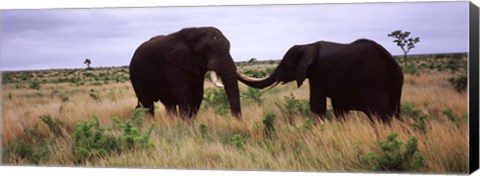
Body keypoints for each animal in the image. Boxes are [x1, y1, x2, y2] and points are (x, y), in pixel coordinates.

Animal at [238, 39, 404, 123]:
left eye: (285, 65)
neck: (309, 45)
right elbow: (339, 108)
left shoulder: (319, 72)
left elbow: (317, 105)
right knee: (395, 112)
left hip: (374, 84)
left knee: (382, 115)